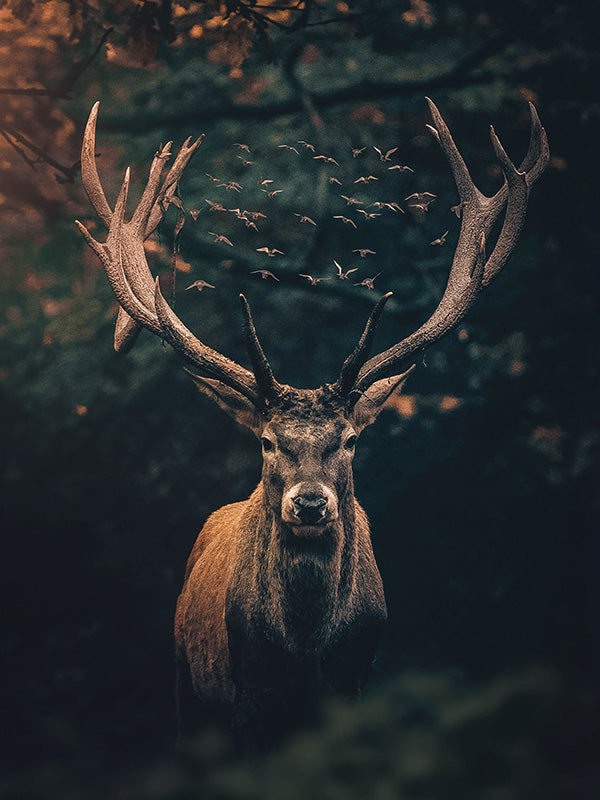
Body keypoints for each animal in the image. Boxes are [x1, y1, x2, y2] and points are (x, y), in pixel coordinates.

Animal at [76, 98, 548, 750]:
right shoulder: (247, 695)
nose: (309, 503)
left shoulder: (356, 682)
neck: (305, 652)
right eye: (267, 441)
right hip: (185, 677)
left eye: (349, 440)